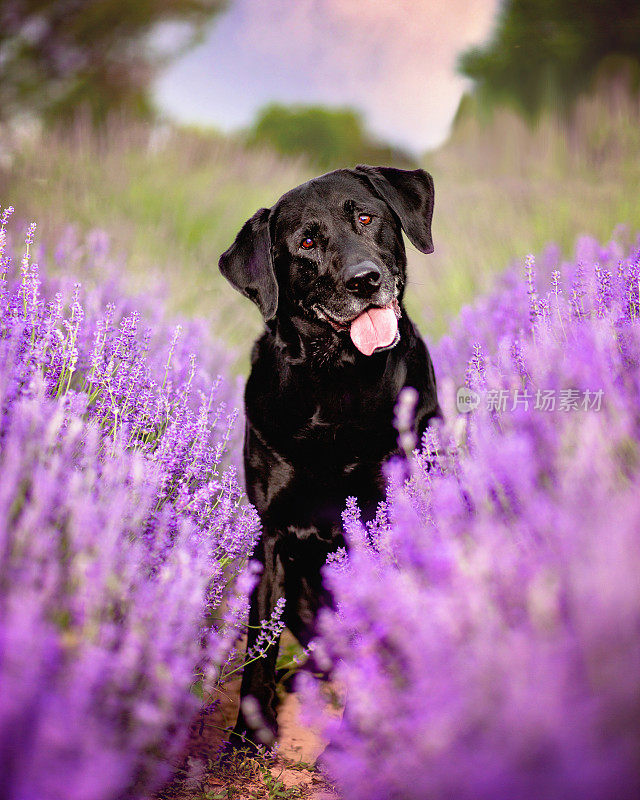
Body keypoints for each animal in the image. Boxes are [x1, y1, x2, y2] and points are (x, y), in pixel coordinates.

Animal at [219, 166, 440, 748]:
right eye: (307, 243)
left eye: (365, 216)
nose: (364, 280)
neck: (339, 379)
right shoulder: (272, 534)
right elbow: (259, 646)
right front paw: (250, 735)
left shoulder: (380, 519)